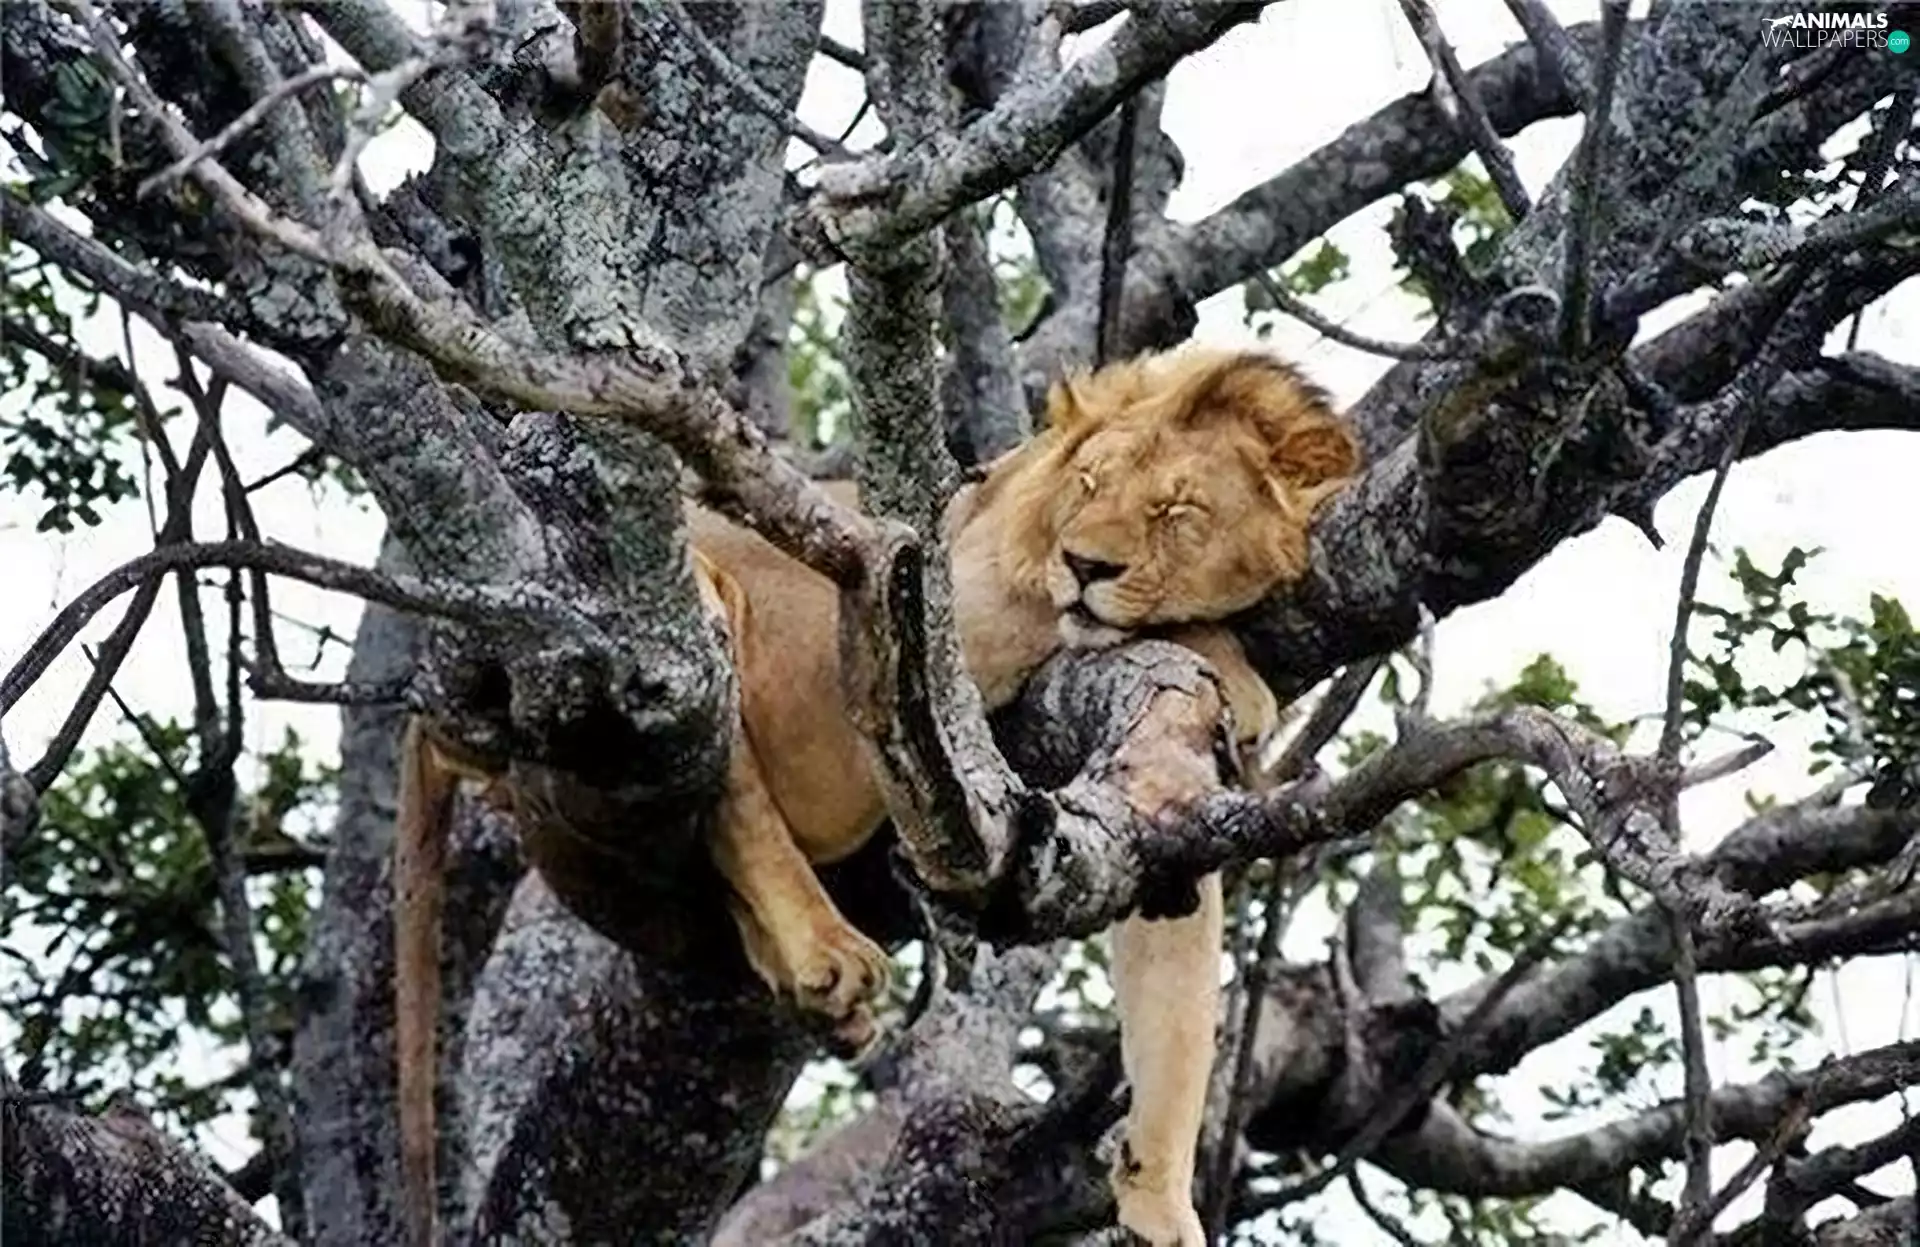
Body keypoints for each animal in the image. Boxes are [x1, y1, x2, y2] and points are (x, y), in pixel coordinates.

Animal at [392, 345, 1359, 1246]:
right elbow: (1079, 625)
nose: (1085, 563)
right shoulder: (900, 632)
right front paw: (1232, 667)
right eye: (1090, 484)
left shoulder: (1153, 814)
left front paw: (1158, 1199)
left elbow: (1178, 1005)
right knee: (732, 780)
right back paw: (824, 949)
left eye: (1177, 513)